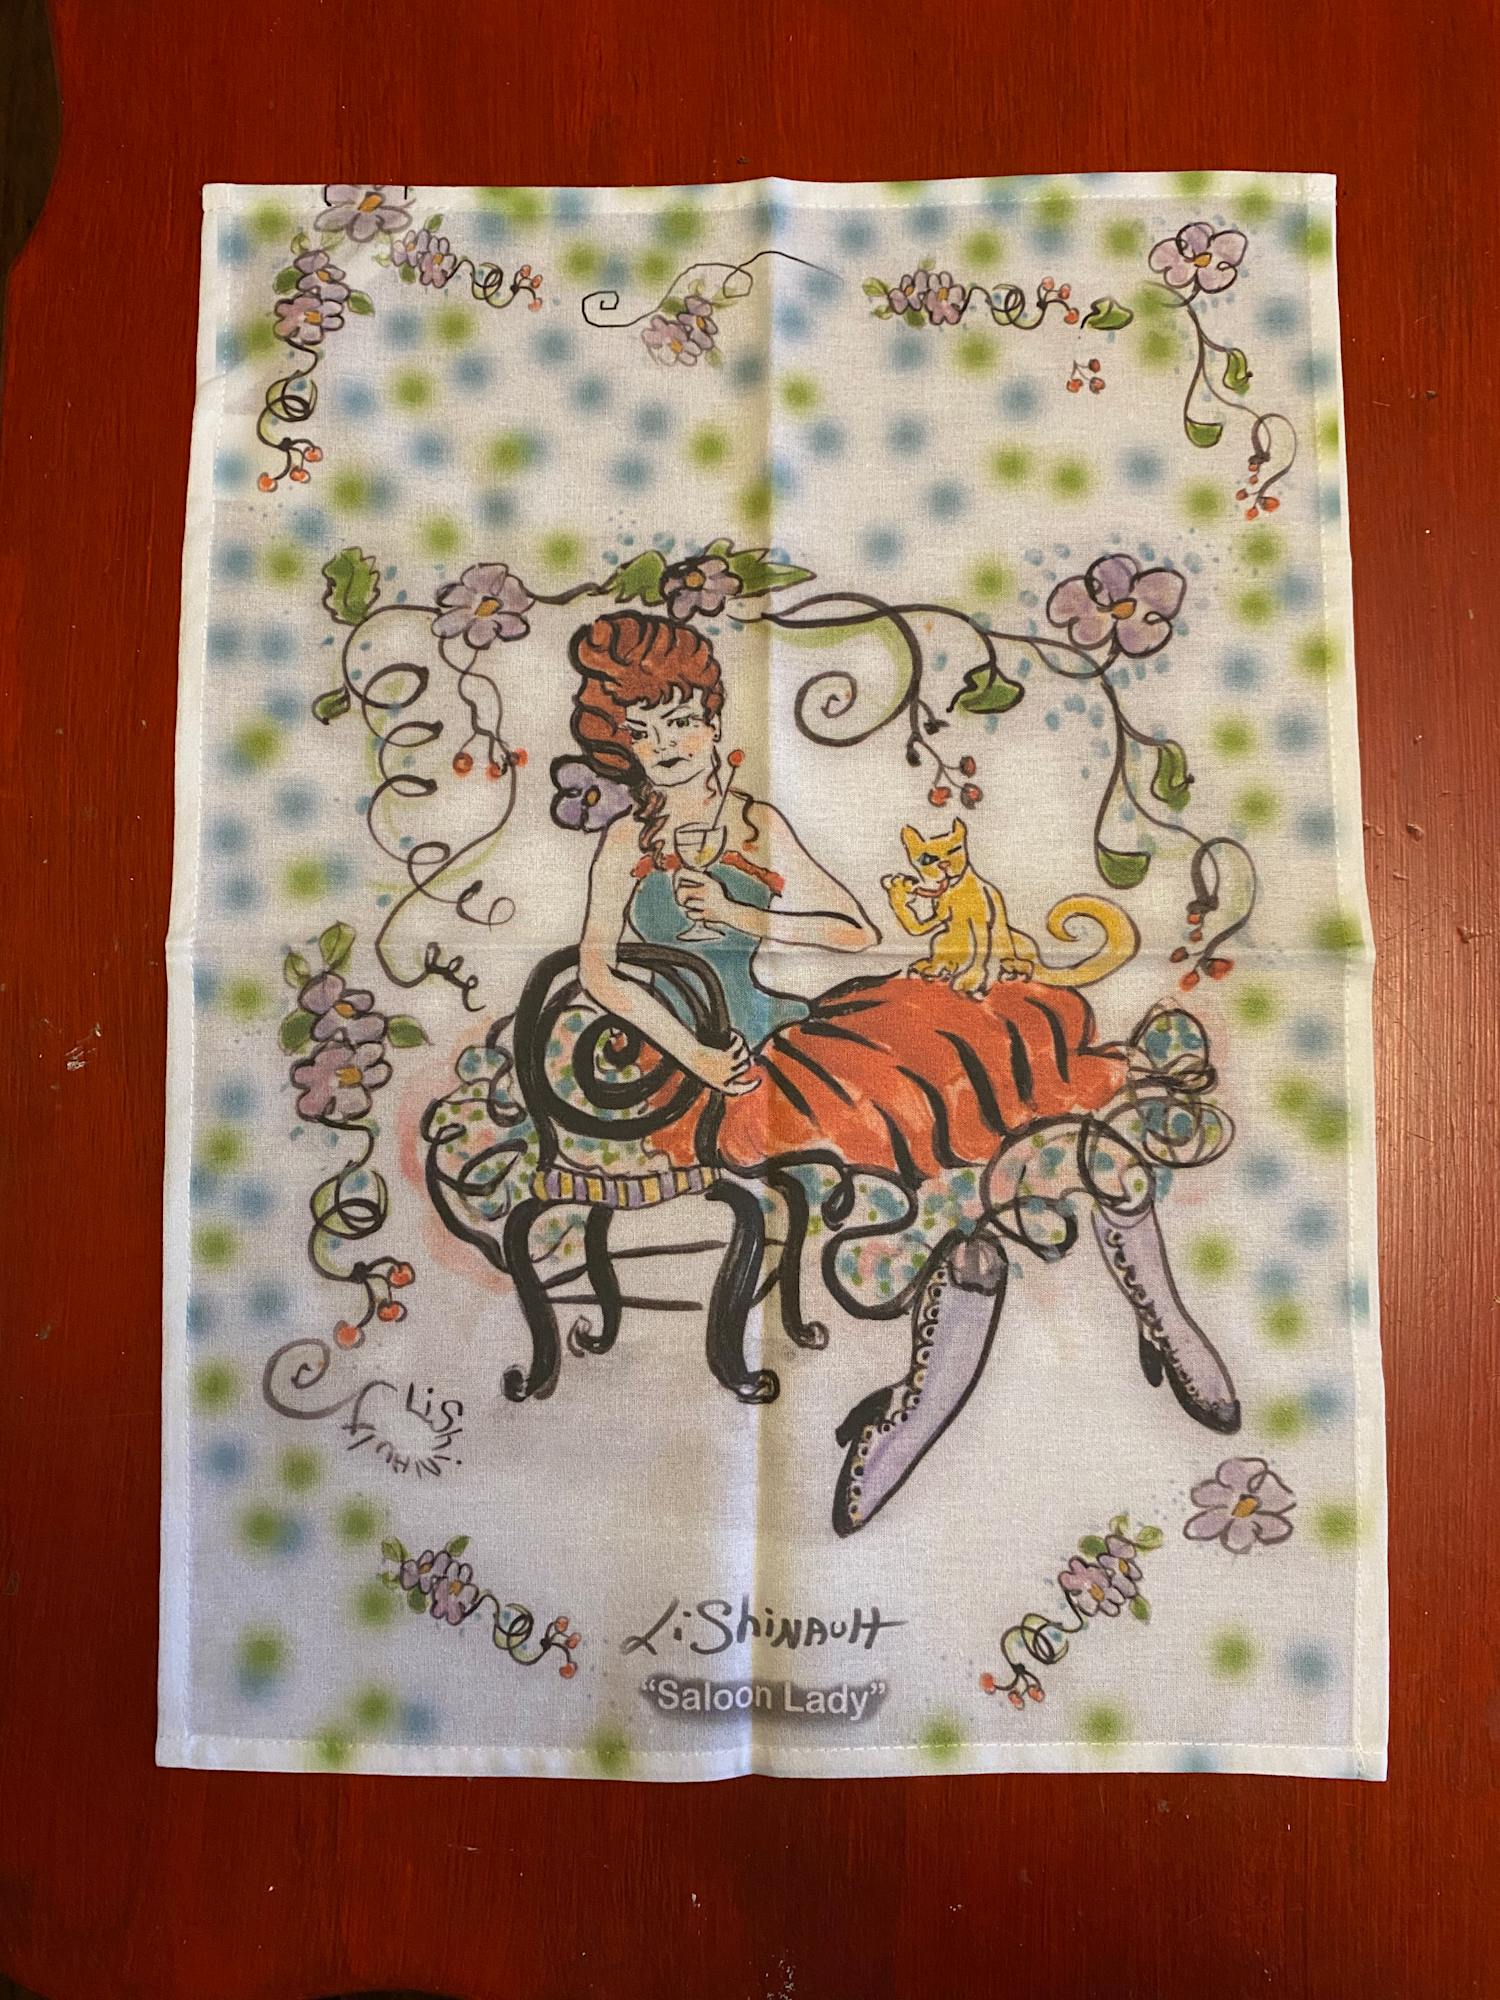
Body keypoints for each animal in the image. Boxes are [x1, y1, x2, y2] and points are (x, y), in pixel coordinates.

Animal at [883, 818, 1138, 995]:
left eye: (955, 850)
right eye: (927, 859)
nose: (944, 865)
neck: (956, 890)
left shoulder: (981, 920)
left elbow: (981, 951)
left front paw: (971, 979)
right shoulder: (940, 915)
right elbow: (919, 926)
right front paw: (897, 892)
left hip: (1016, 943)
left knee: (1018, 961)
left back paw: (1014, 968)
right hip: (941, 939)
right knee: (948, 956)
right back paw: (935, 967)